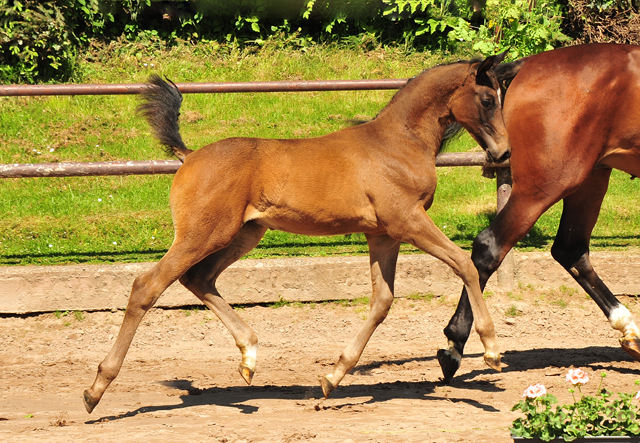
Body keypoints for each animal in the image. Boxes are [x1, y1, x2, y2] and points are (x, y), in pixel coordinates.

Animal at [82, 53, 510, 414]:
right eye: (488, 99)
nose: (504, 153)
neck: (397, 144)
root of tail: (189, 157)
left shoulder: (383, 235)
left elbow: (382, 302)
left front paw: (331, 379)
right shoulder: (408, 220)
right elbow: (463, 264)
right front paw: (491, 350)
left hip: (243, 234)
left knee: (198, 278)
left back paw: (249, 359)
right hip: (203, 235)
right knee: (148, 285)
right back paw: (95, 389)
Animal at [440, 43, 640, 384]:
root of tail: (526, 66)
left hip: (590, 177)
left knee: (570, 250)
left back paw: (631, 333)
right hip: (550, 182)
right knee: (489, 246)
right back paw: (455, 347)